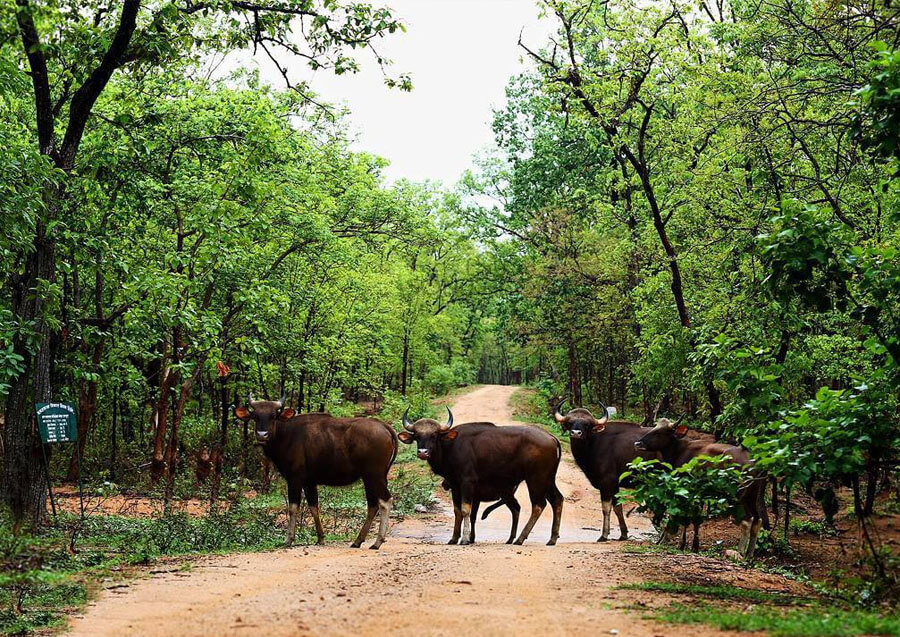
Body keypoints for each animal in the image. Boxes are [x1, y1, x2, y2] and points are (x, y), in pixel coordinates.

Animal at [234, 392, 396, 548]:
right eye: (255, 416)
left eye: (273, 416)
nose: (262, 435)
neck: (285, 435)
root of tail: (384, 426)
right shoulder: (309, 482)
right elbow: (314, 507)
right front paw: (320, 538)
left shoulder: (295, 479)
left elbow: (293, 508)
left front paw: (289, 539)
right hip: (371, 477)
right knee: (373, 504)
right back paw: (358, 541)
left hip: (374, 475)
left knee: (385, 501)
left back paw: (377, 541)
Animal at [400, 410, 564, 544]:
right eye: (417, 436)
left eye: (434, 436)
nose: (423, 452)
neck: (450, 447)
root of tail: (551, 437)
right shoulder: (455, 485)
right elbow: (457, 511)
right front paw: (454, 538)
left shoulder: (468, 482)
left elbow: (466, 510)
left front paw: (465, 539)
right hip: (548, 479)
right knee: (557, 499)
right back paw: (552, 538)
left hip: (536, 478)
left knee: (538, 505)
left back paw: (520, 539)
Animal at [552, 400, 656, 540]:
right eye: (570, 423)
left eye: (587, 425)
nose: (575, 433)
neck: (593, 444)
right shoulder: (615, 485)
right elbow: (618, 508)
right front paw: (623, 534)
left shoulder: (607, 483)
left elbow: (606, 508)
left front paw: (604, 535)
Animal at [632, 418, 768, 556]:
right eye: (654, 427)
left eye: (659, 432)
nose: (638, 443)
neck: (679, 450)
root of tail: (753, 461)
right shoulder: (699, 494)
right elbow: (696, 520)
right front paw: (694, 547)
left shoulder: (686, 489)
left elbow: (686, 518)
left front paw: (681, 544)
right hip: (752, 494)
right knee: (757, 520)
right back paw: (750, 554)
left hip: (737, 495)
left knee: (747, 520)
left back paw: (740, 552)